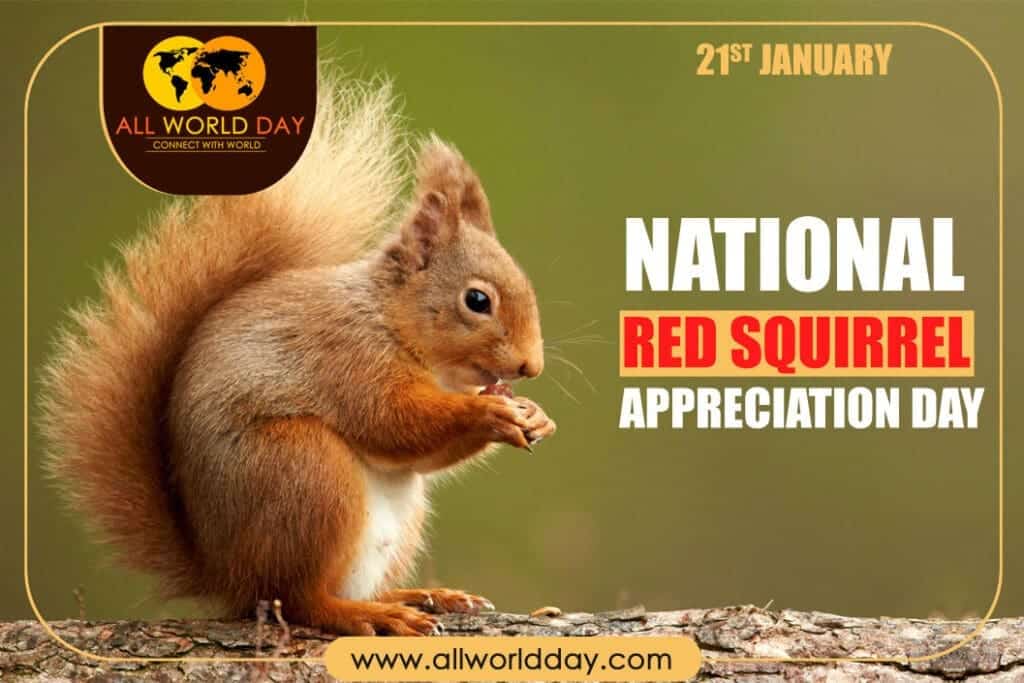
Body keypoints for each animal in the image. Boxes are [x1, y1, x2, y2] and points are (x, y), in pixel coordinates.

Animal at [39, 79, 555, 636]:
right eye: (477, 300)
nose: (530, 367)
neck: (390, 319)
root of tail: (227, 577)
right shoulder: (348, 357)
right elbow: (393, 421)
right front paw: (487, 411)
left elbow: (419, 453)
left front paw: (535, 417)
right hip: (304, 472)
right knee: (302, 598)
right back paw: (370, 614)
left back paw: (421, 596)